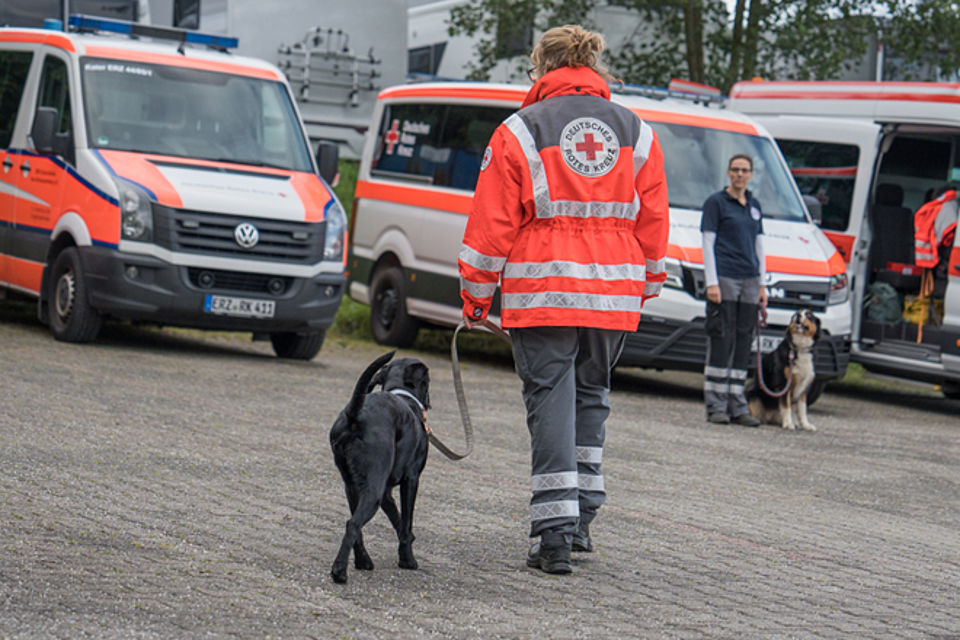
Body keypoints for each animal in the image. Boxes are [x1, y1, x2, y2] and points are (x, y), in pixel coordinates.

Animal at [332, 352, 434, 584]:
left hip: (353, 487)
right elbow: (406, 521)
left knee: (354, 524)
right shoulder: (411, 480)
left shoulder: (387, 492)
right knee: (353, 524)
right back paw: (339, 571)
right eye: (428, 381)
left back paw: (363, 561)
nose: (429, 402)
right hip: (373, 491)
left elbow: (398, 521)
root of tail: (355, 414)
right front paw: (408, 560)